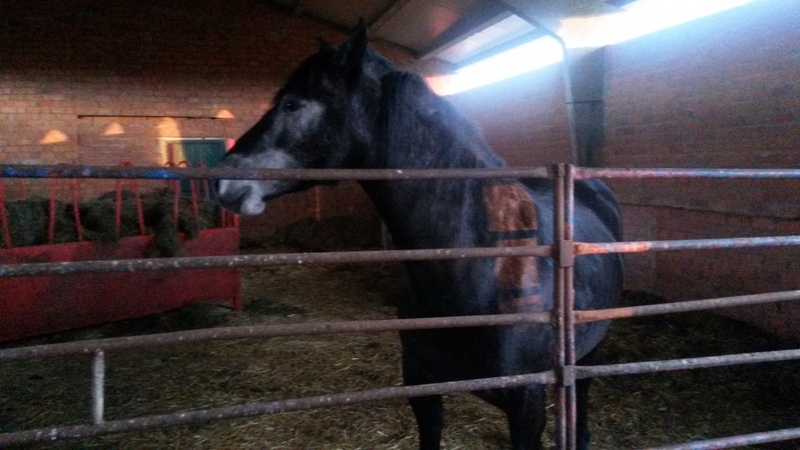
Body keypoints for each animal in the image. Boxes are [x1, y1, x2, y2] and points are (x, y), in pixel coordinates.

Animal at [214, 23, 623, 450]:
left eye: (292, 105)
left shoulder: (526, 403)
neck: (484, 267)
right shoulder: (421, 387)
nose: (222, 181)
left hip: (589, 352)